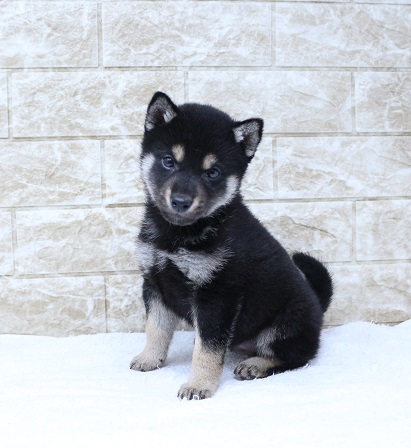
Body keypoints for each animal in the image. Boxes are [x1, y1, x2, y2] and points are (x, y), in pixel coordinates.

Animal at [130, 93, 334, 400]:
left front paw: (198, 385)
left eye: (213, 172)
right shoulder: (155, 283)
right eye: (168, 161)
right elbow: (156, 328)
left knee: (297, 356)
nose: (180, 201)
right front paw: (150, 358)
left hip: (286, 324)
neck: (178, 234)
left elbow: (208, 349)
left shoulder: (217, 294)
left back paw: (256, 365)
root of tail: (319, 308)